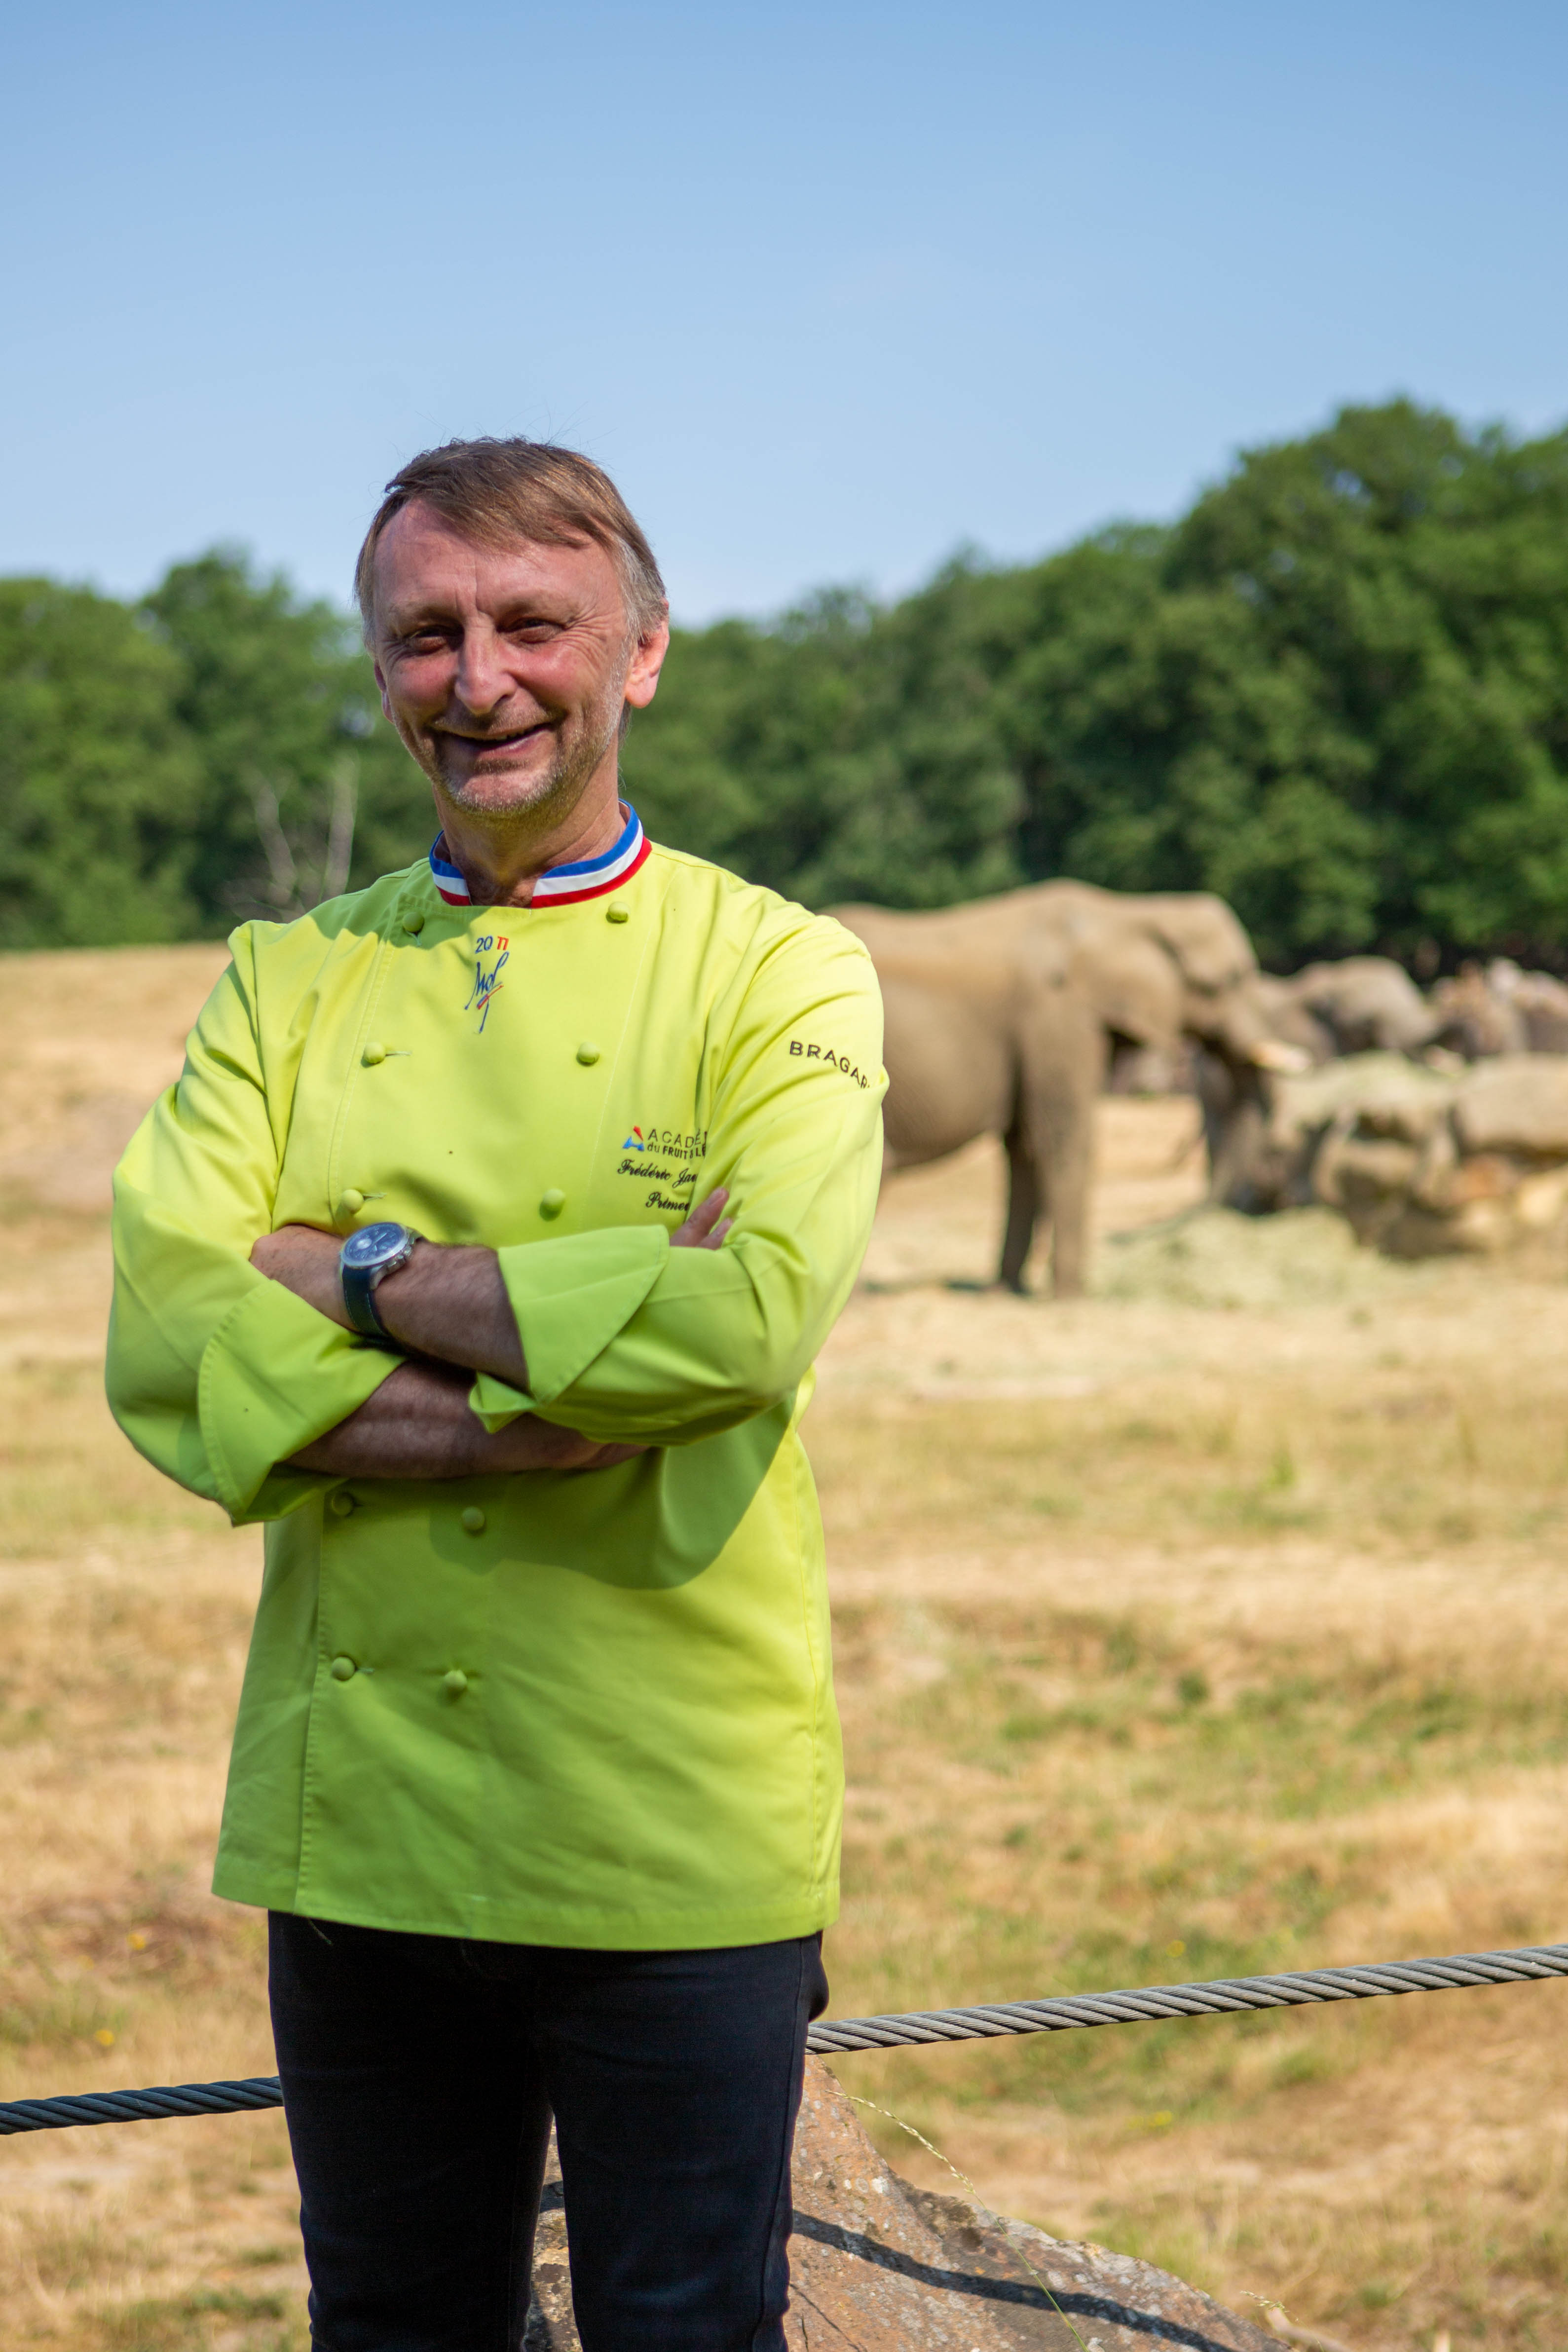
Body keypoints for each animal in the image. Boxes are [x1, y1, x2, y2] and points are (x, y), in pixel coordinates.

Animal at [827, 879, 1298, 1298]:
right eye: (1229, 981)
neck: (1128, 911)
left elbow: (1025, 1148)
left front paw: (1008, 1292)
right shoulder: (1058, 1018)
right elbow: (1064, 1138)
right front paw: (1073, 1297)